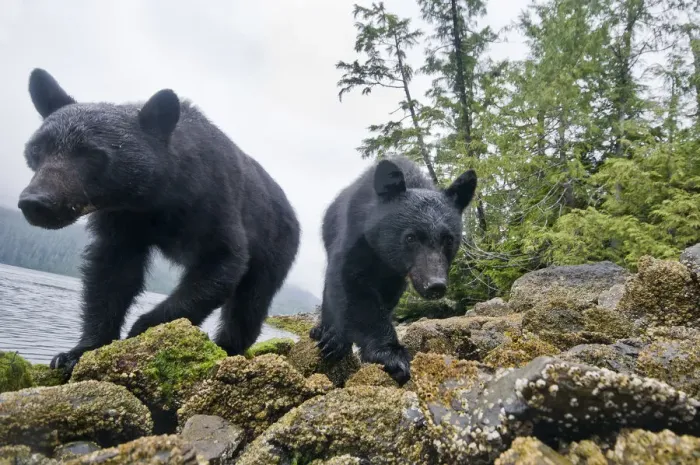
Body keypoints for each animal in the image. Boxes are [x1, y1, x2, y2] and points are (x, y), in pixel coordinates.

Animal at [18, 68, 301, 373]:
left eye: (92, 154)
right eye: (37, 148)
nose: (36, 202)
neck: (154, 197)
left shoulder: (212, 200)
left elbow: (221, 262)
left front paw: (143, 328)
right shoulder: (122, 219)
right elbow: (111, 274)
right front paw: (77, 351)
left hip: (275, 245)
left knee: (249, 303)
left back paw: (228, 347)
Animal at [309, 156, 477, 384]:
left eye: (449, 240)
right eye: (411, 237)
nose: (435, 284)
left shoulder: (395, 275)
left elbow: (386, 297)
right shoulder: (356, 235)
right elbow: (351, 284)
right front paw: (391, 356)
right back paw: (325, 332)